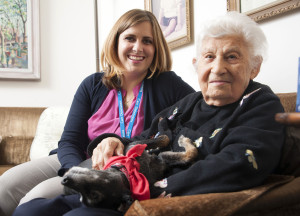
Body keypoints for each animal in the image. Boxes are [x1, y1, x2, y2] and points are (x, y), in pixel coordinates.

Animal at [61, 134, 197, 212]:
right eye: (94, 195)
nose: (64, 180)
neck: (132, 174)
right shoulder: (157, 158)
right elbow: (189, 154)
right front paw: (184, 141)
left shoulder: (137, 146)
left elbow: (164, 140)